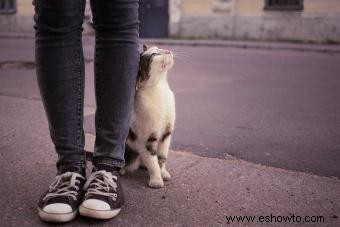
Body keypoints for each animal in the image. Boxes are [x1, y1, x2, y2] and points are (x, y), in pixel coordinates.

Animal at [120, 44, 175, 188]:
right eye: (154, 55)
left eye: (159, 48)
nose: (168, 50)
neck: (160, 88)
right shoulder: (146, 140)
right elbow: (152, 162)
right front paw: (156, 180)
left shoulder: (166, 134)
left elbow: (162, 157)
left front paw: (163, 172)